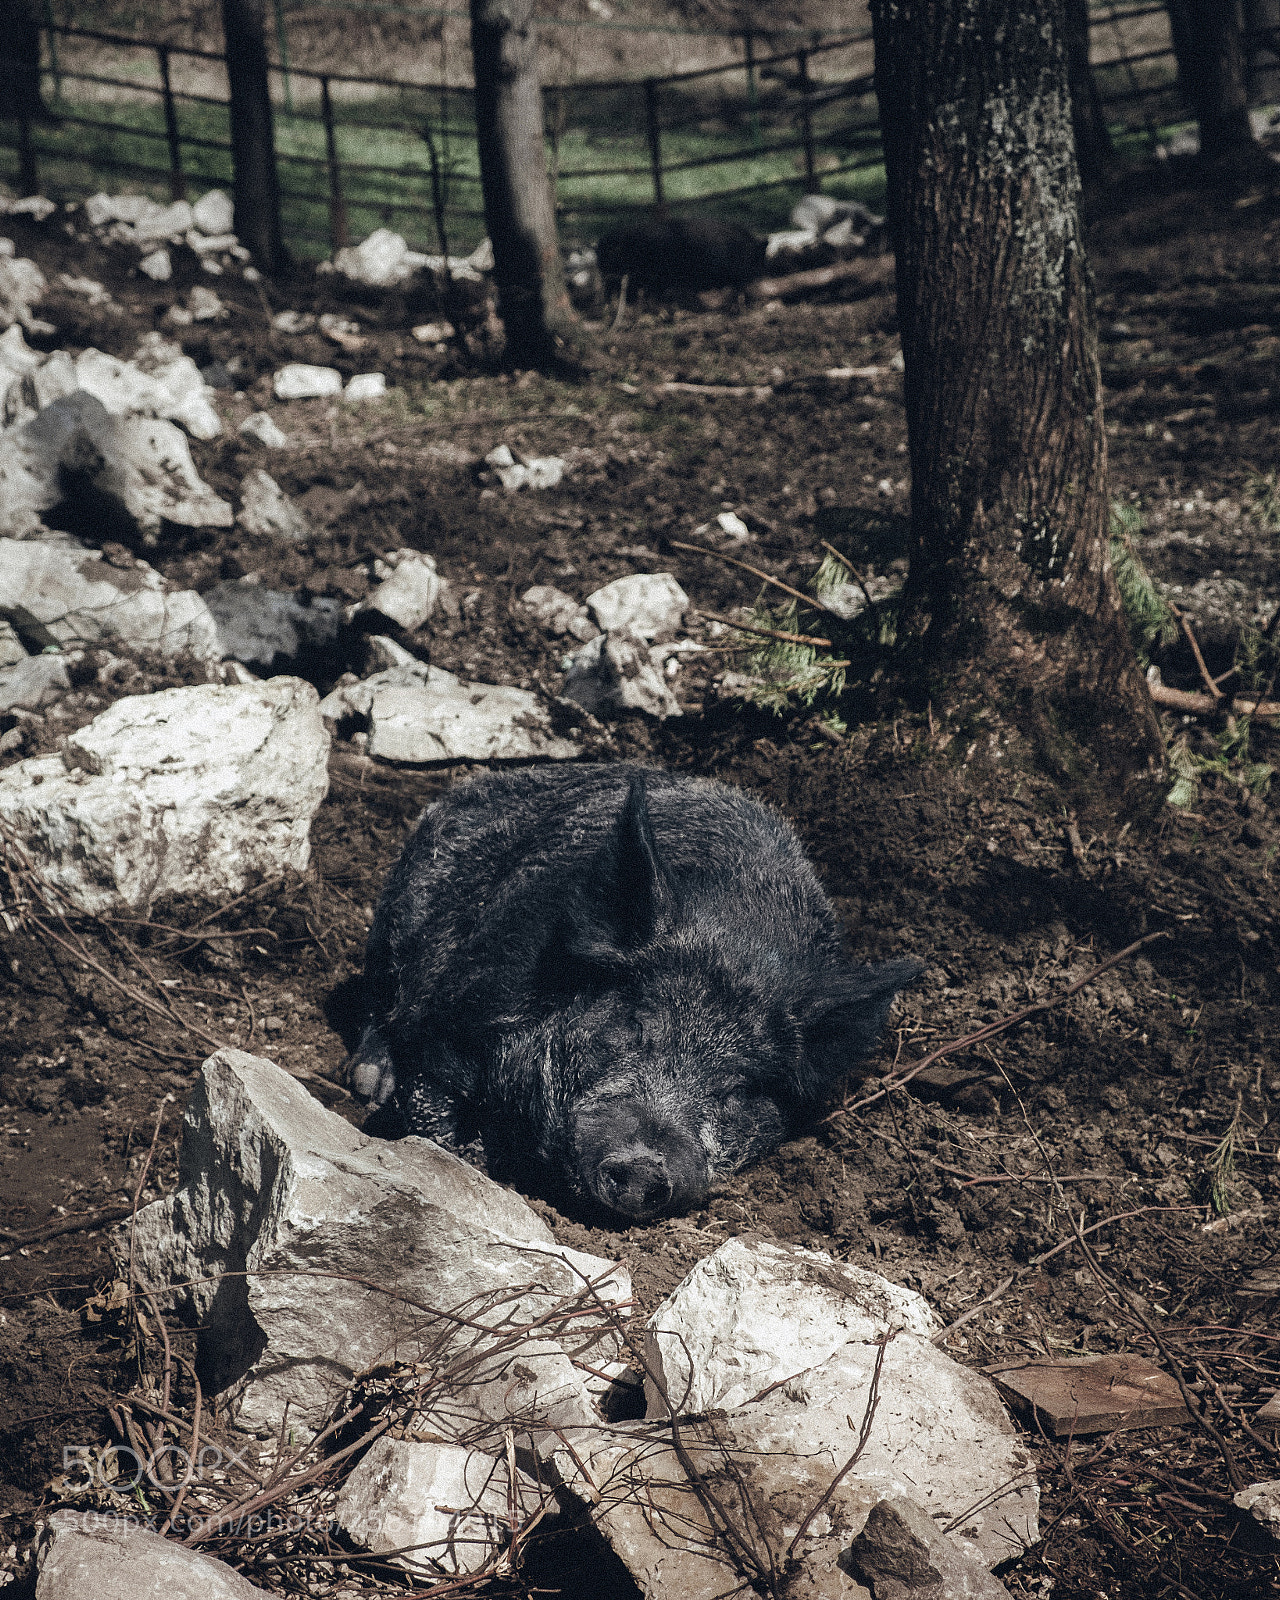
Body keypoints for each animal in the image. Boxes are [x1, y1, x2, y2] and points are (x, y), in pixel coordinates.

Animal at [348, 765, 921, 1220]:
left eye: (741, 1087)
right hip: (399, 913)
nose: (646, 1167)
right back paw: (368, 1081)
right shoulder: (459, 1010)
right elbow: (429, 1101)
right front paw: (473, 1158)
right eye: (636, 1025)